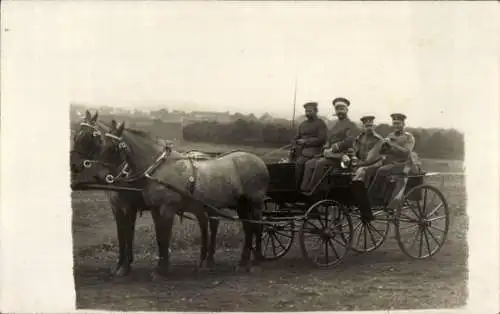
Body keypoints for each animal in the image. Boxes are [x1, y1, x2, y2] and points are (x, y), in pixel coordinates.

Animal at [71, 116, 270, 276]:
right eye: (76, 136)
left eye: (111, 146)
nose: (102, 176)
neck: (156, 169)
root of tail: (257, 160)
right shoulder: (146, 209)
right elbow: (151, 236)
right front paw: (138, 267)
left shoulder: (163, 209)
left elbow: (162, 236)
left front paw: (160, 270)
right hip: (240, 205)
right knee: (246, 229)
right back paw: (238, 262)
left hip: (254, 203)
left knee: (256, 227)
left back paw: (254, 260)